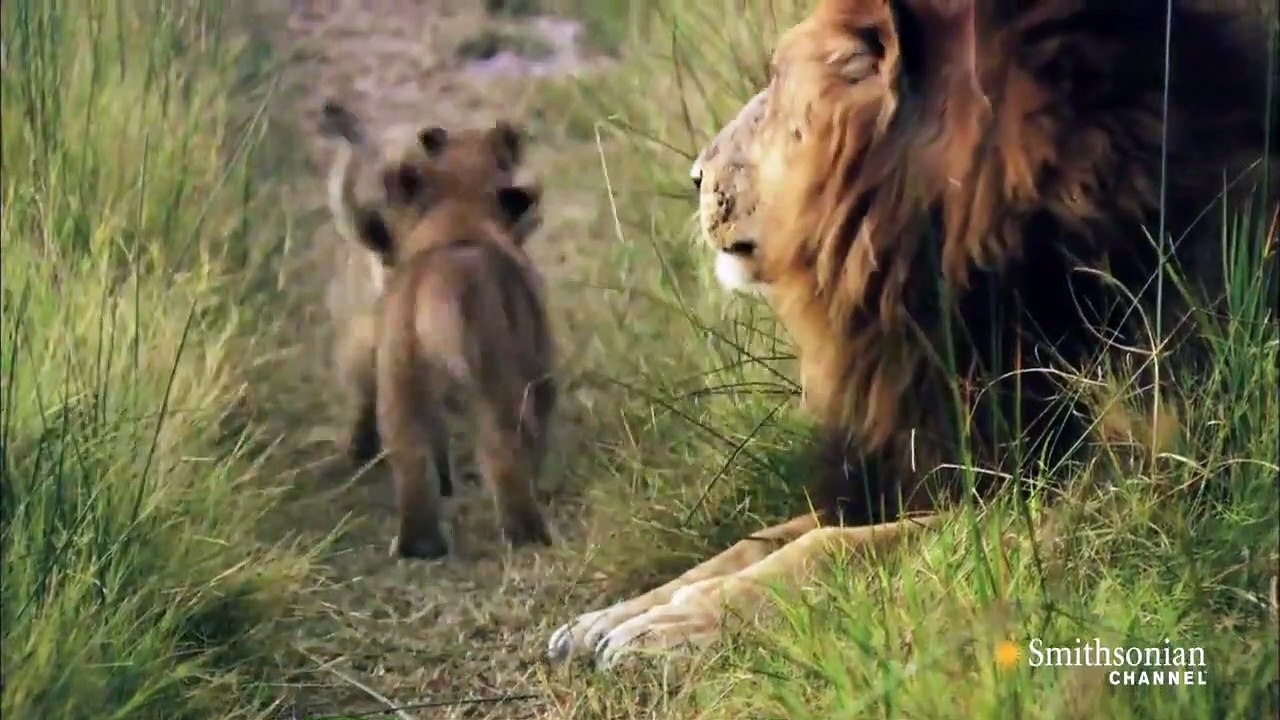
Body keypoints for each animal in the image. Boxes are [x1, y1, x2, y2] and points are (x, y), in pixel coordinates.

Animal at [320, 101, 555, 559]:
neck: (459, 213)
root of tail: (437, 294)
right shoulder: (540, 359)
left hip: (400, 392)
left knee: (411, 467)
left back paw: (420, 546)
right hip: (495, 390)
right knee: (502, 458)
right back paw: (530, 535)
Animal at [547, 0, 1277, 668]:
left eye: (777, 85)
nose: (695, 175)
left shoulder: (1116, 492)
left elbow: (838, 547)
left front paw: (679, 622)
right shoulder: (929, 456)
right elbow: (759, 538)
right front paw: (616, 615)